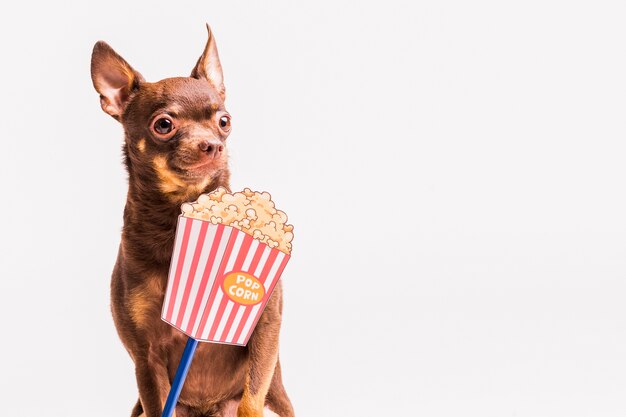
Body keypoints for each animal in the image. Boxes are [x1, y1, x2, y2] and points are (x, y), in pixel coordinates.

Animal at [91, 26, 294, 416]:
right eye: (164, 125)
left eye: (224, 121)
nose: (212, 144)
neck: (177, 216)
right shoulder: (146, 356)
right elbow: (158, 403)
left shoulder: (265, 328)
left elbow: (252, 397)